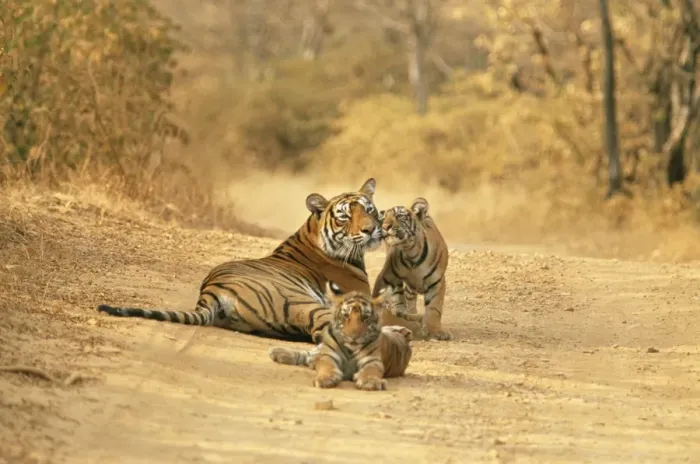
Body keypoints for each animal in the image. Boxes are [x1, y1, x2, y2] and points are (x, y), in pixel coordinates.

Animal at [269, 281, 413, 390]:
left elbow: (371, 370)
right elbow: (326, 366)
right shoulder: (328, 355)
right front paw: (326, 378)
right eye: (346, 316)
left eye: (365, 318)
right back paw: (278, 352)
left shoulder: (372, 361)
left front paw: (370, 381)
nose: (354, 336)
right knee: (309, 353)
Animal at [372, 197, 453, 341]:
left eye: (399, 216)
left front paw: (435, 331)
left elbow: (434, 308)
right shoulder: (386, 277)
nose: (385, 227)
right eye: (384, 218)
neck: (410, 252)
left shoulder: (437, 282)